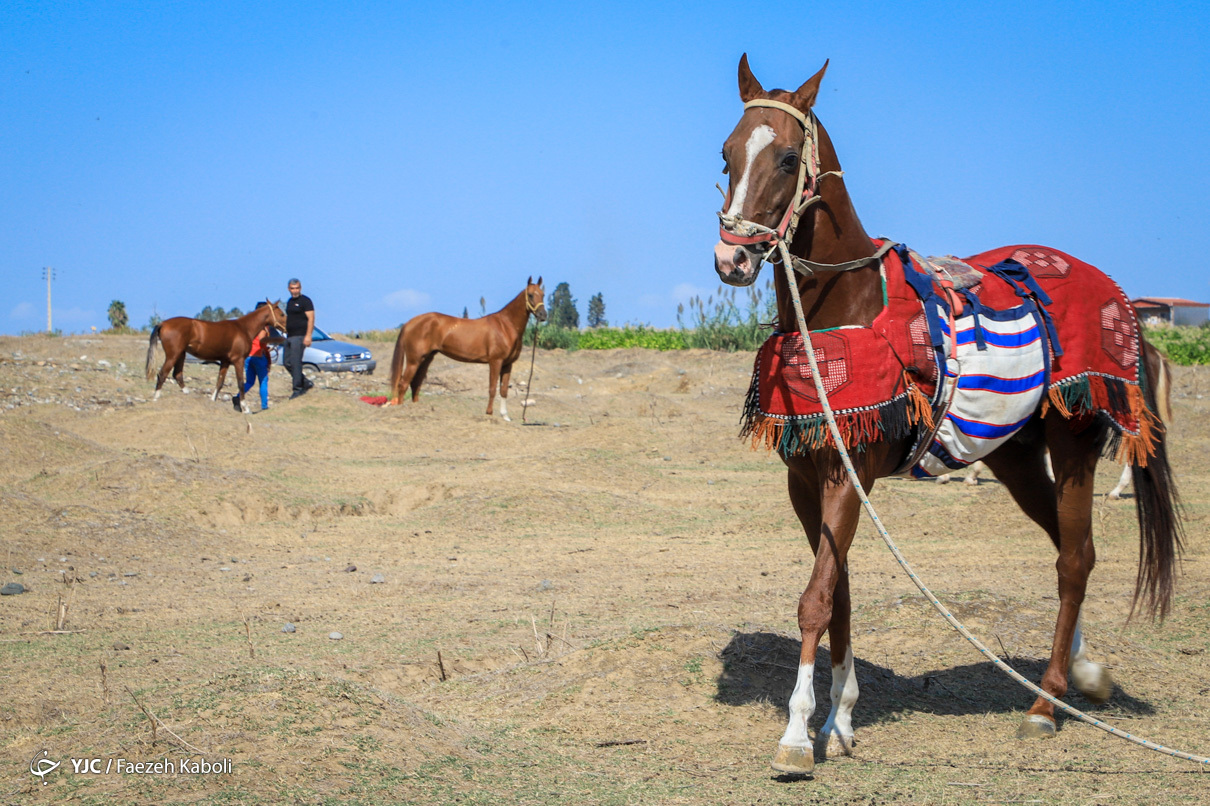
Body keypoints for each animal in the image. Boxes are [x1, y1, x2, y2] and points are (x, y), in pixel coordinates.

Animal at [145, 297, 284, 411]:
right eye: (282, 314)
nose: (286, 328)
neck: (243, 328)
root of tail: (163, 323)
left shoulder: (225, 361)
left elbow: (220, 382)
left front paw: (212, 400)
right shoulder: (238, 360)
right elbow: (240, 383)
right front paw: (246, 408)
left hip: (181, 354)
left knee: (177, 375)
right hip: (173, 355)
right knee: (163, 374)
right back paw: (156, 397)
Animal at [387, 278, 549, 421]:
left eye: (543, 294)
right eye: (530, 294)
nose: (543, 315)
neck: (505, 326)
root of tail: (410, 323)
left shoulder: (508, 364)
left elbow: (503, 390)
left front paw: (505, 416)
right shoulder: (495, 361)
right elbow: (492, 388)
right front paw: (489, 413)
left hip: (426, 359)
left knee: (415, 384)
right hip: (414, 360)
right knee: (403, 383)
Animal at [706, 53, 1180, 769]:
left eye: (788, 158)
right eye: (727, 152)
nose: (731, 257)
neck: (842, 310)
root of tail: (1119, 301)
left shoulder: (849, 475)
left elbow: (817, 598)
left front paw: (796, 734)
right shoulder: (806, 479)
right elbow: (838, 591)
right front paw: (839, 720)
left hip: (1072, 443)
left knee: (1075, 559)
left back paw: (1046, 704)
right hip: (1015, 457)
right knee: (1067, 546)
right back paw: (1083, 673)